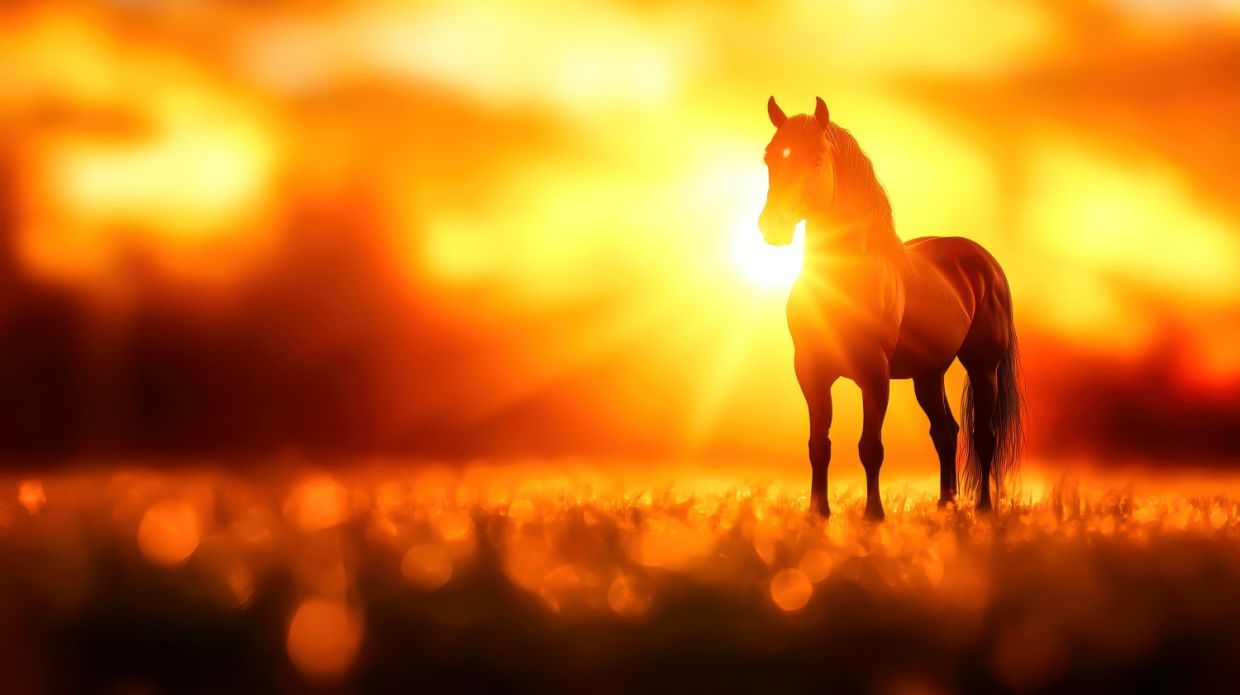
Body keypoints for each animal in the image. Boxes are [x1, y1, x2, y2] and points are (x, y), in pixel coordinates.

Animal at [758, 96, 1023, 519]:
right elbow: (818, 446)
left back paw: (982, 509)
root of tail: (985, 263)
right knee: (946, 433)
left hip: (984, 368)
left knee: (983, 436)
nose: (773, 227)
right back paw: (945, 506)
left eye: (816, 159)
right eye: (770, 156)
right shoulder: (811, 371)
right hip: (928, 373)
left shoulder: (874, 374)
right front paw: (818, 514)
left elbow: (870, 447)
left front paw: (873, 515)